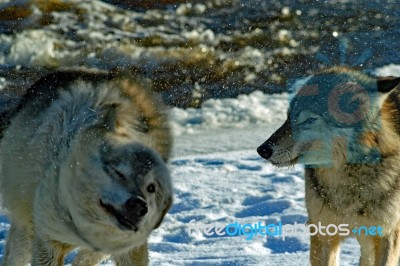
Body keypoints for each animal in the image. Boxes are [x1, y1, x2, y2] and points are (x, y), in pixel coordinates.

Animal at [0, 69, 172, 266]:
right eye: (118, 173)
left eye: (151, 187)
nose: (139, 206)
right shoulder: (48, 241)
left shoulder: (128, 248)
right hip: (26, 223)